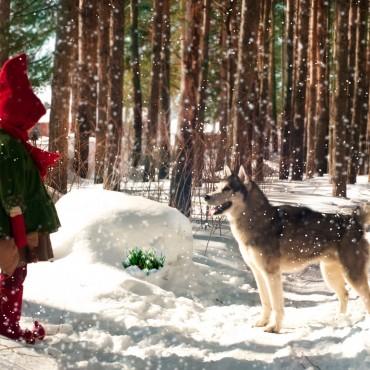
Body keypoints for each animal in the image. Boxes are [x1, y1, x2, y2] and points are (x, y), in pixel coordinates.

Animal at [204, 166, 370, 334]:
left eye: (227, 188)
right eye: (217, 186)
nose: (206, 196)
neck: (257, 221)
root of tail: (353, 220)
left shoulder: (272, 274)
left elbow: (277, 305)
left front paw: (274, 328)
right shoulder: (258, 273)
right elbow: (265, 302)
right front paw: (262, 322)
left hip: (351, 275)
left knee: (365, 298)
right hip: (330, 274)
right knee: (344, 295)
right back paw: (338, 320)